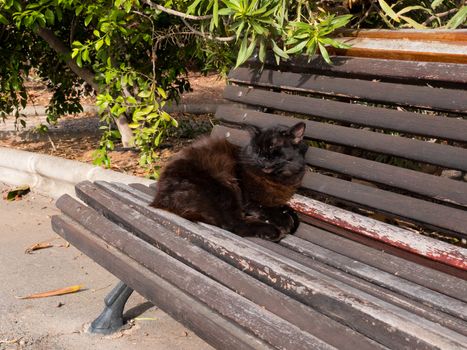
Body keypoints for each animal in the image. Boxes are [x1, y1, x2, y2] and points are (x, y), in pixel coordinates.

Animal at [152, 122, 308, 241]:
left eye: (273, 147)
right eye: (257, 150)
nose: (261, 158)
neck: (277, 179)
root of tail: (160, 198)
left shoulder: (278, 200)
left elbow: (289, 210)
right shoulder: (250, 201)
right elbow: (269, 209)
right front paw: (285, 221)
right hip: (224, 188)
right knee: (233, 225)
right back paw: (273, 231)